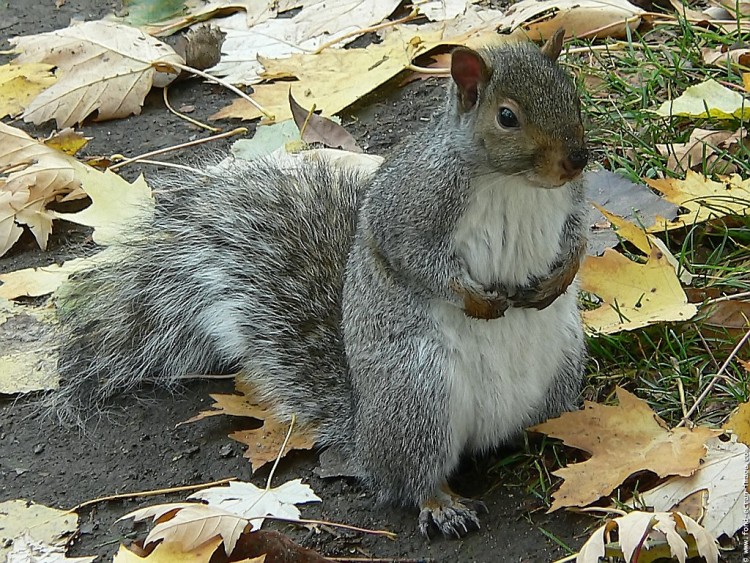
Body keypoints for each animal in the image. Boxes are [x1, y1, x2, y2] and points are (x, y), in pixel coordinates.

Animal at [55, 29, 592, 536]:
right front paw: (478, 301)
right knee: (410, 479)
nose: (577, 159)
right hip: (418, 397)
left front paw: (558, 279)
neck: (513, 183)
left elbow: (576, 238)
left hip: (563, 367)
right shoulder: (411, 210)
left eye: (572, 93)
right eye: (507, 117)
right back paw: (440, 503)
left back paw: (571, 440)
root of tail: (364, 434)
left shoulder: (572, 201)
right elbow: (416, 261)